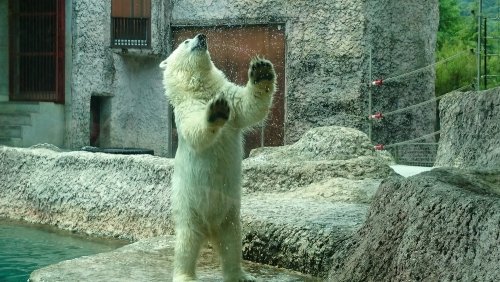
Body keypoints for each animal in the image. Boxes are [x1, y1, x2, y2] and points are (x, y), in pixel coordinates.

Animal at [159, 33, 276, 282]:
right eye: (185, 42)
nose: (201, 36)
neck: (201, 89)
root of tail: (209, 230)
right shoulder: (187, 109)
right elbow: (196, 131)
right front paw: (216, 111)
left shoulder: (232, 99)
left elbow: (249, 107)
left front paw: (261, 70)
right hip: (189, 209)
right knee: (186, 243)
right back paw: (185, 275)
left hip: (229, 215)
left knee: (232, 243)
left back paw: (240, 275)